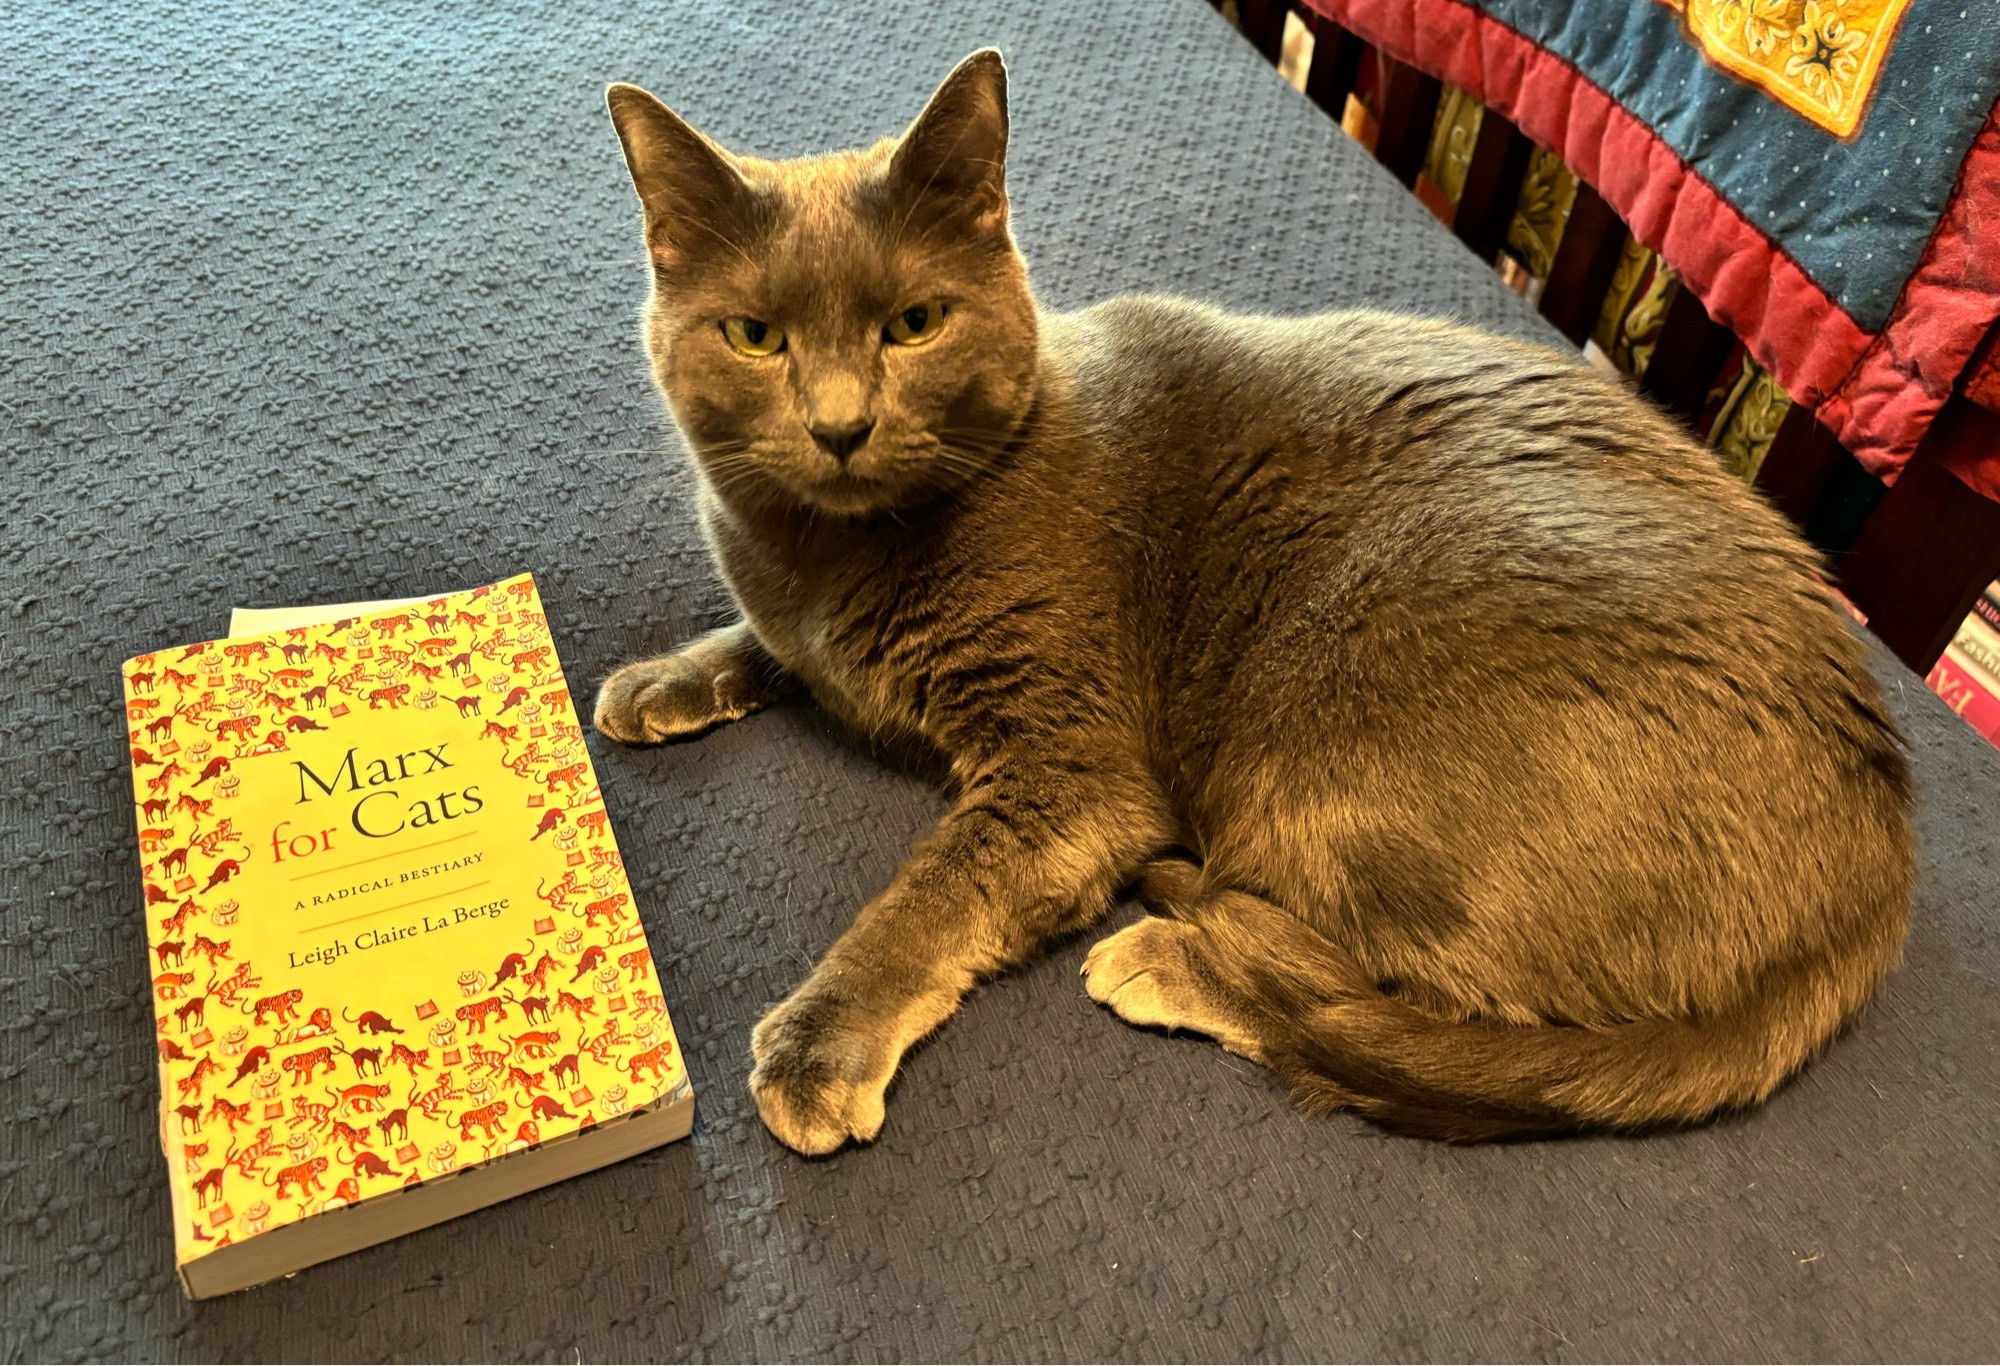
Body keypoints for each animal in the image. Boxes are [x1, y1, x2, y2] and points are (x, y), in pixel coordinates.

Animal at [596, 50, 1920, 1152]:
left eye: (913, 323)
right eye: (754, 336)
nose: (838, 424)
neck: (833, 560)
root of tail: (1873, 874)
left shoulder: (1070, 773)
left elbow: (928, 899)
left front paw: (819, 1041)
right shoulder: (794, 610)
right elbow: (761, 643)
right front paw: (659, 680)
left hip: (1328, 724)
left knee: (1383, 997)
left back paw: (1166, 950)